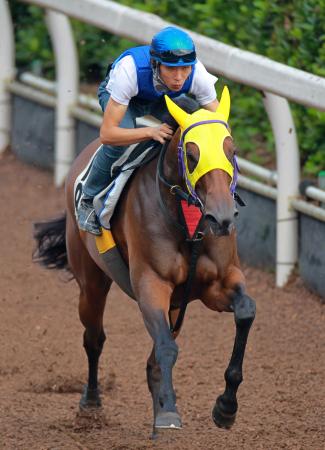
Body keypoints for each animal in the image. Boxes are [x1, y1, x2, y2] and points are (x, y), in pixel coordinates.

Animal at [33, 86, 256, 434]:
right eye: (191, 155)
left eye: (232, 151)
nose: (221, 217)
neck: (188, 225)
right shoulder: (152, 284)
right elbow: (166, 348)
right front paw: (169, 413)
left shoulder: (217, 285)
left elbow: (245, 311)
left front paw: (225, 408)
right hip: (91, 280)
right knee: (94, 338)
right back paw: (90, 404)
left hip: (176, 304)